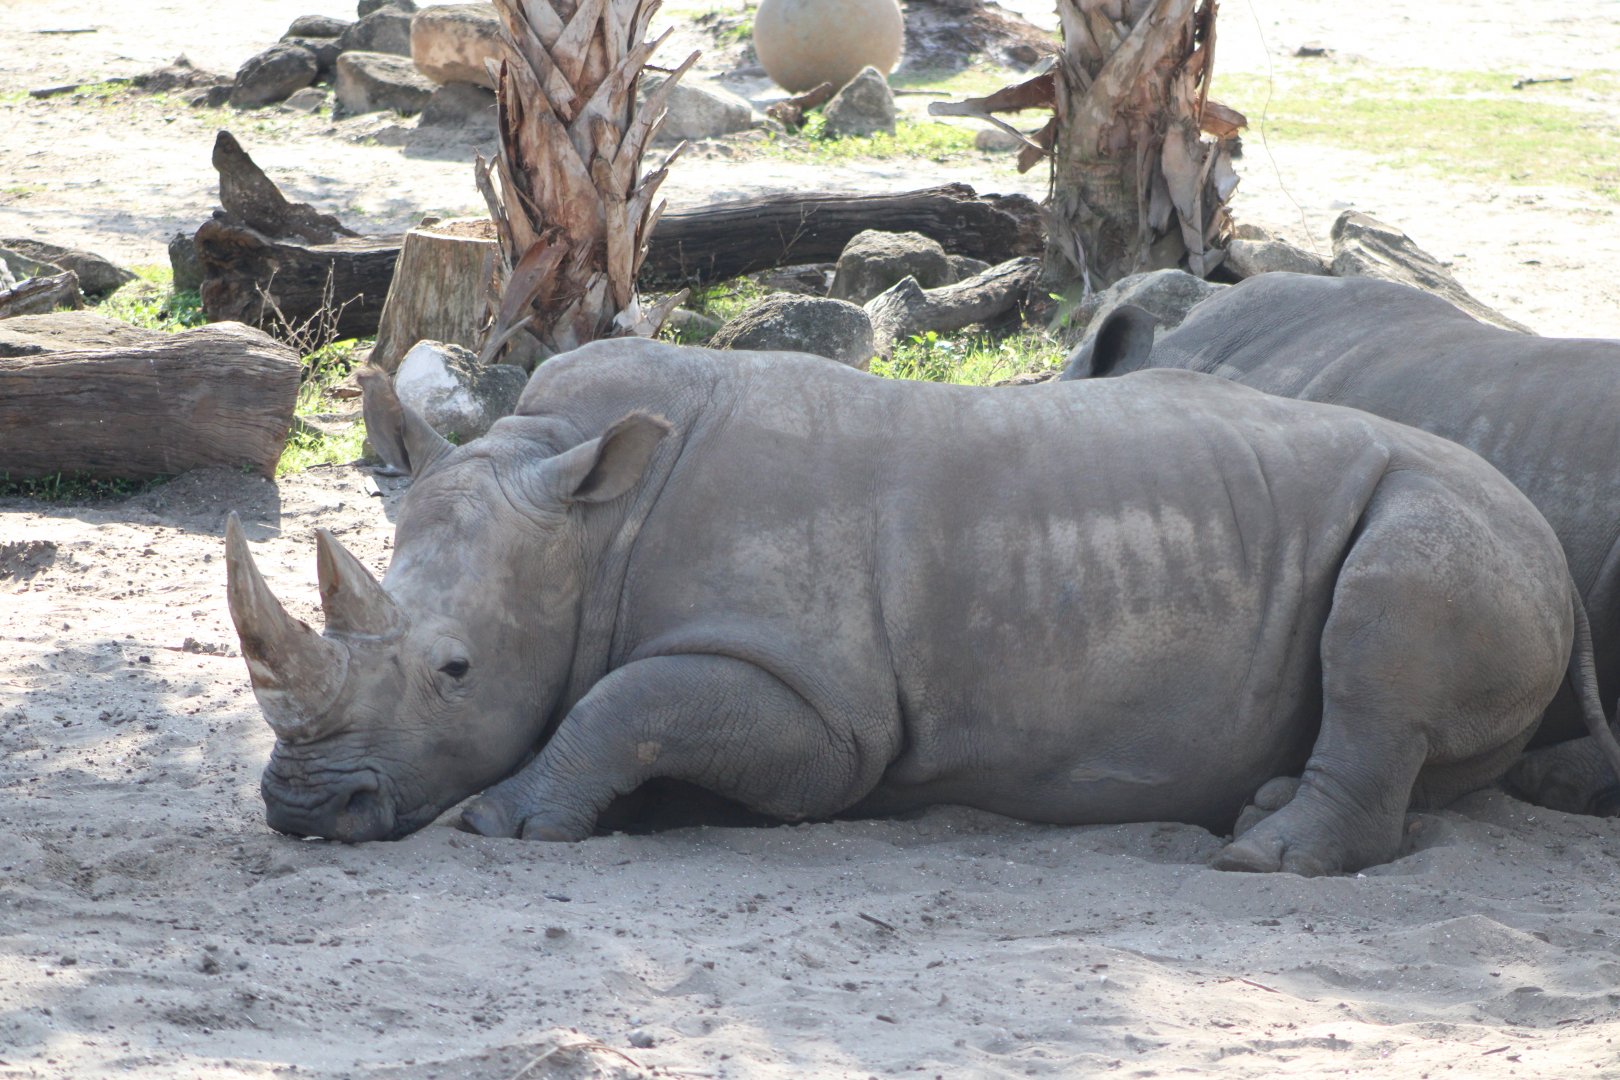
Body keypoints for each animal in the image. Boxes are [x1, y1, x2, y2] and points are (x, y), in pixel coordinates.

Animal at [225, 339, 1614, 875]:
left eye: (455, 671)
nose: (301, 810)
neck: (585, 520)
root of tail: (1547, 532)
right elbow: (625, 705)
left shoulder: (829, 716)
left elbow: (627, 699)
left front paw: (506, 823)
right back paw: (1259, 807)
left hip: (1460, 518)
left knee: (1389, 620)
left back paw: (1259, 857)